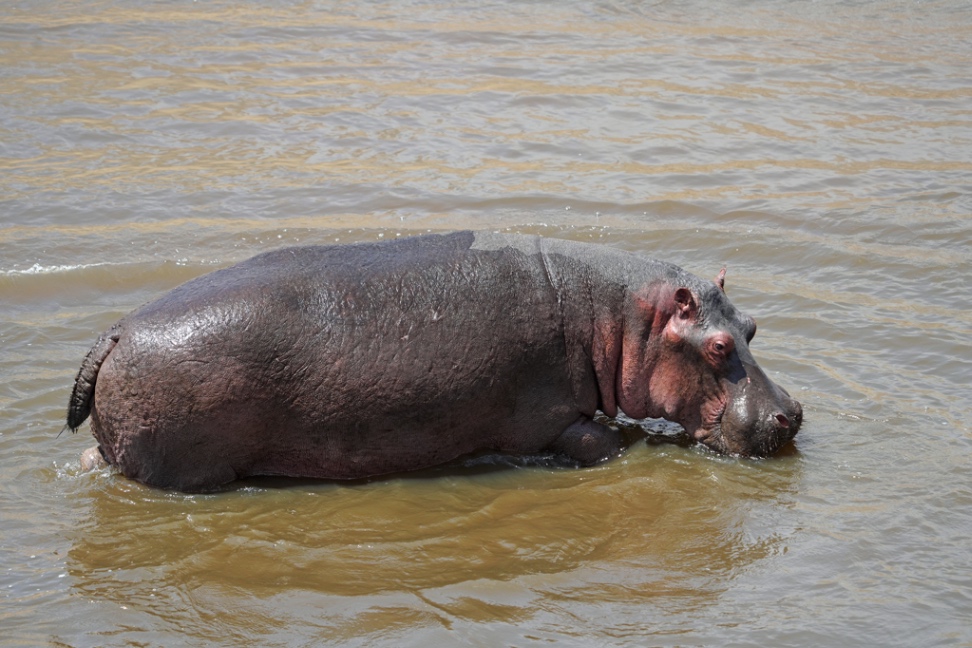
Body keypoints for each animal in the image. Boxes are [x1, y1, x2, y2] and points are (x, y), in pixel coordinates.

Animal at [66, 231, 802, 491]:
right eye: (718, 346)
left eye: (752, 326)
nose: (791, 413)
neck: (617, 319)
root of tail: (115, 333)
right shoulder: (550, 423)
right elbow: (605, 445)